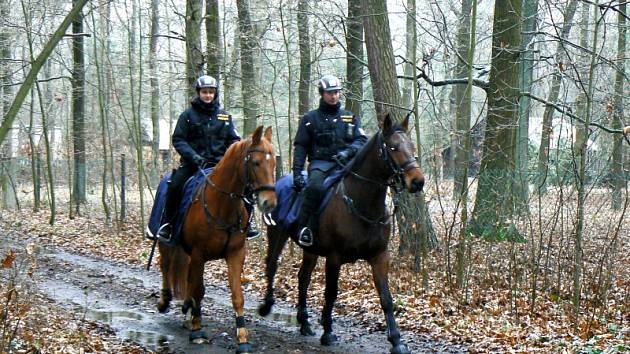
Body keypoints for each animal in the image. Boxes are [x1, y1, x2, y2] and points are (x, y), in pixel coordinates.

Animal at [157, 126, 276, 352]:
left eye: (273, 162)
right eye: (256, 162)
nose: (269, 202)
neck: (222, 205)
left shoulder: (235, 254)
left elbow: (237, 296)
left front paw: (242, 339)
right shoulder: (199, 254)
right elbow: (199, 290)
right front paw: (197, 330)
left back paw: (186, 306)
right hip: (165, 244)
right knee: (165, 267)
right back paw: (165, 301)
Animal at [260, 115, 428, 354]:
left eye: (411, 146)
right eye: (393, 147)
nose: (417, 181)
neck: (362, 203)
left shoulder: (380, 256)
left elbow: (386, 298)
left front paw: (396, 341)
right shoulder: (334, 257)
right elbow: (331, 292)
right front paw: (328, 331)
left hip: (310, 250)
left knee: (303, 278)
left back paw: (304, 322)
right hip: (277, 235)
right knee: (272, 265)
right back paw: (266, 306)